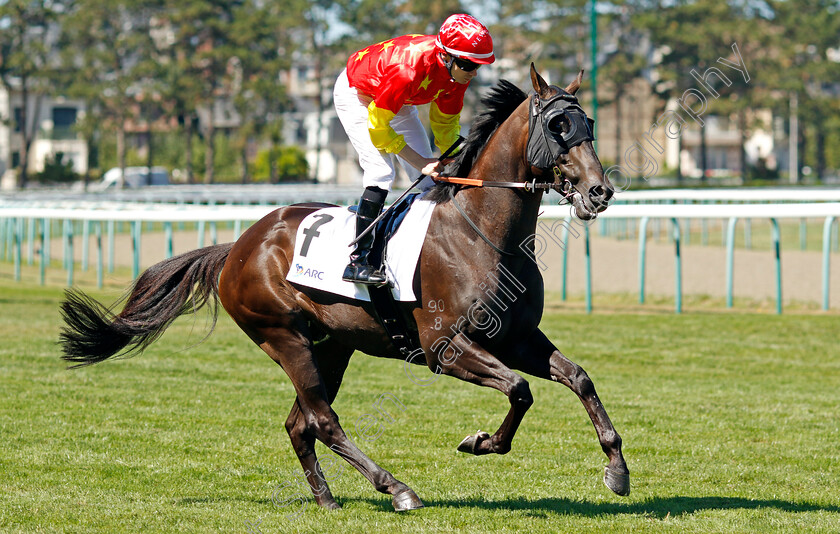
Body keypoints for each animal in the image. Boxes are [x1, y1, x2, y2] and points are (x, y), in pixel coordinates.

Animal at [60, 65, 632, 512]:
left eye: (589, 124)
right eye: (557, 126)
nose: (599, 191)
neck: (482, 232)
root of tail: (240, 245)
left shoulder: (516, 337)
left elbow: (578, 378)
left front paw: (617, 469)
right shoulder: (444, 349)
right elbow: (519, 389)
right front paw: (481, 441)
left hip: (331, 344)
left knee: (299, 423)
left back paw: (327, 498)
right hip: (284, 336)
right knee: (322, 418)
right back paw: (397, 488)